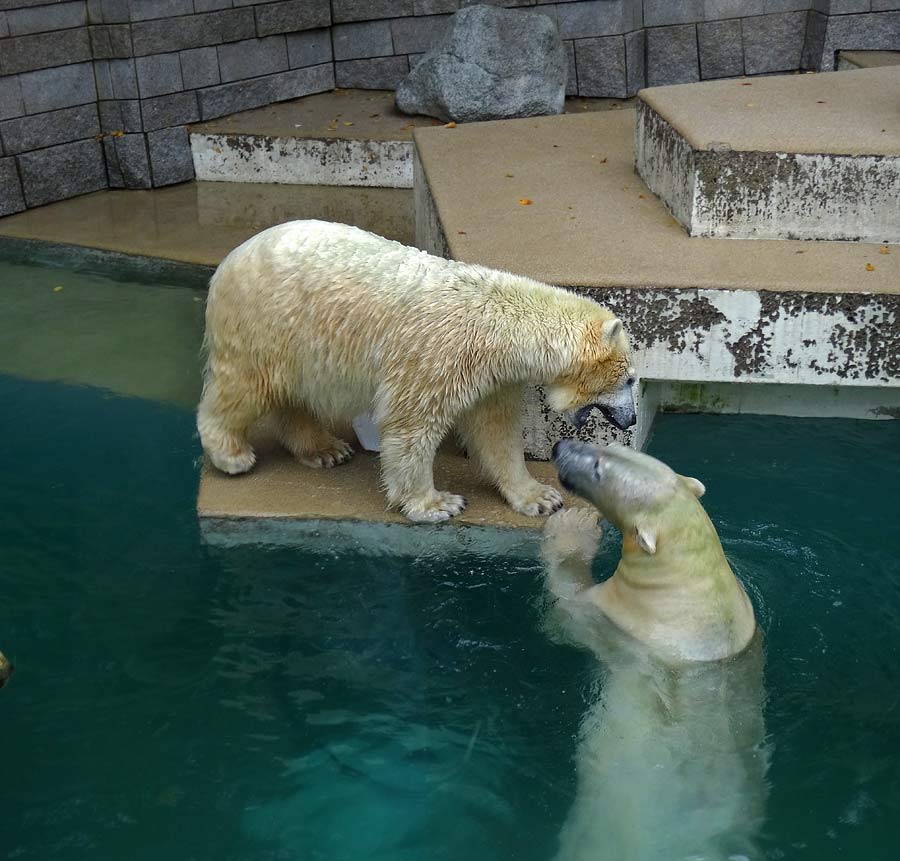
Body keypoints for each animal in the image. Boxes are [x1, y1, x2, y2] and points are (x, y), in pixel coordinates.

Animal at [199, 218, 632, 520]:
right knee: (244, 386)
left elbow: (496, 432)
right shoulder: (436, 355)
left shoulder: (493, 377)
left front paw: (539, 497)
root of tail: (230, 260)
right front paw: (437, 503)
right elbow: (412, 427)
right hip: (266, 322)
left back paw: (325, 449)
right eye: (629, 379)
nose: (629, 421)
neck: (497, 323)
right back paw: (232, 454)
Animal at [536, 444, 768, 860]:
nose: (560, 448)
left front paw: (573, 524)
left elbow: (564, 610)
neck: (692, 584)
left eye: (599, 469)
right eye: (612, 448)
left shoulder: (619, 617)